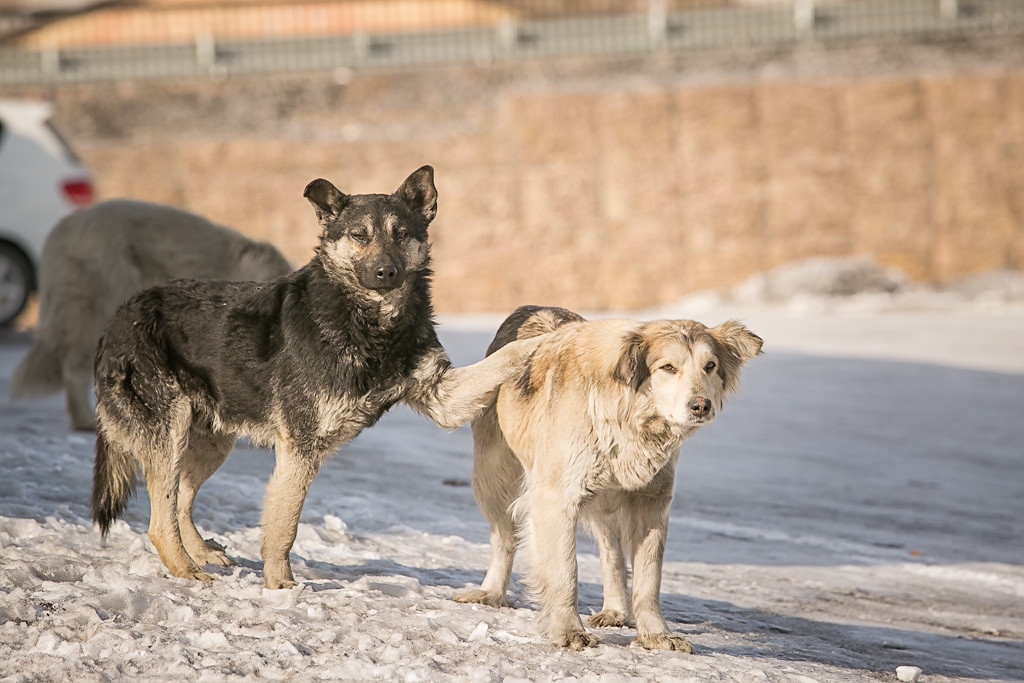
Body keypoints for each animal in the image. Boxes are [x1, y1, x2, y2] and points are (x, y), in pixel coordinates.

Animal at [456, 307, 761, 655]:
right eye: (668, 368)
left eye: (710, 366)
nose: (701, 406)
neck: (627, 417)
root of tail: (527, 309)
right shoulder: (556, 499)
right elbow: (565, 572)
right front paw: (568, 630)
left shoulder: (651, 502)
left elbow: (648, 581)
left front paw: (656, 635)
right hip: (493, 480)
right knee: (504, 539)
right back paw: (491, 593)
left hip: (604, 501)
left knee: (611, 552)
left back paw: (615, 610)